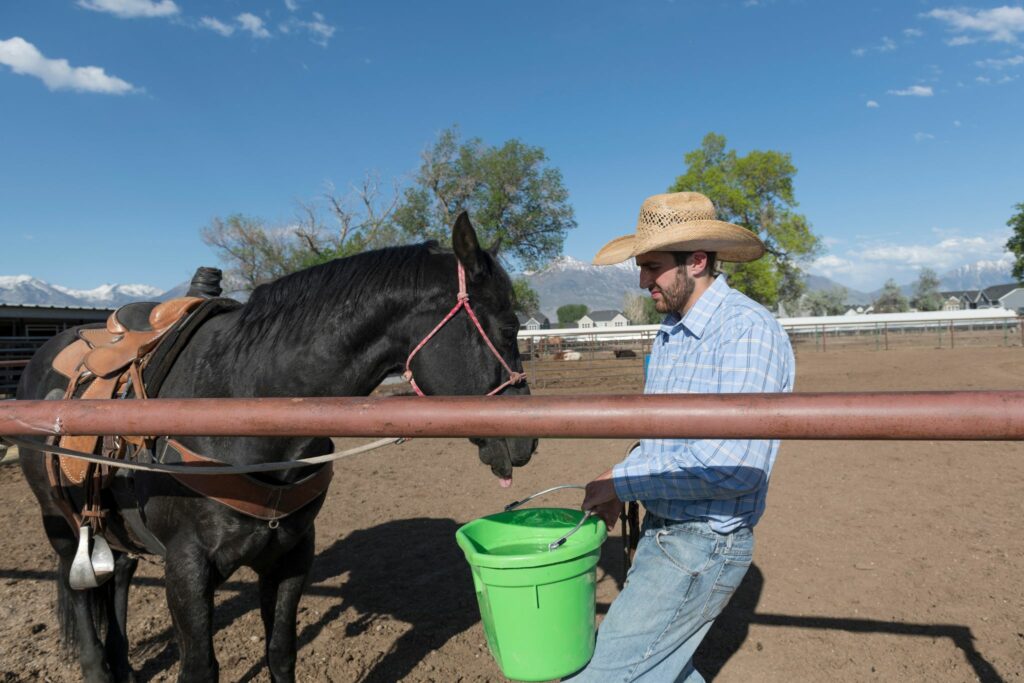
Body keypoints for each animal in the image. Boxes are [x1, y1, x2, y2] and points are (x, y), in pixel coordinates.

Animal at [16, 213, 537, 682]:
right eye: (509, 329)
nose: (527, 439)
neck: (242, 404)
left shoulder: (291, 556)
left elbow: (281, 653)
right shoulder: (186, 568)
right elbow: (199, 668)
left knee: (119, 575)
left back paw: (123, 664)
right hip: (60, 523)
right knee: (80, 587)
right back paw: (99, 667)